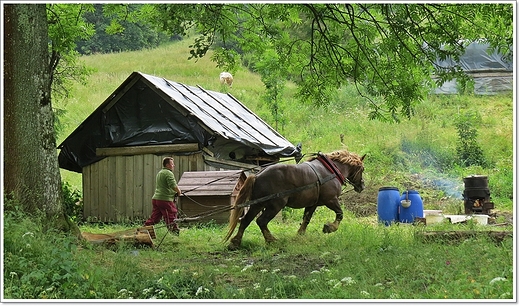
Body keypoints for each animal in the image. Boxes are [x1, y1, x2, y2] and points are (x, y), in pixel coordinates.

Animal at [224, 149, 366, 250]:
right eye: (362, 169)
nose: (362, 186)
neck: (331, 169)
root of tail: (257, 175)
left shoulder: (313, 204)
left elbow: (306, 219)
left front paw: (300, 234)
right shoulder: (330, 200)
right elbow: (340, 214)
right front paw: (329, 227)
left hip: (257, 205)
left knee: (245, 220)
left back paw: (235, 242)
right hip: (275, 205)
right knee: (261, 221)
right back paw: (271, 240)